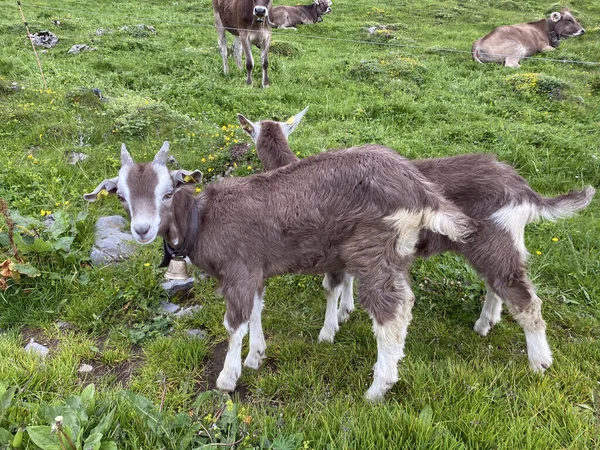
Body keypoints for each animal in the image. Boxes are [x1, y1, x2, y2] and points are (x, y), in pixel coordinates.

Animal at [84, 142, 476, 400]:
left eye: (167, 192)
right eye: (121, 196)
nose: (143, 229)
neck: (203, 221)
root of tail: (420, 190)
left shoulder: (238, 271)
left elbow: (235, 322)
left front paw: (228, 377)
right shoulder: (254, 270)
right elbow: (257, 310)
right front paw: (255, 356)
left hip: (374, 248)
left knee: (392, 309)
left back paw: (379, 386)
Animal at [237, 108, 592, 372]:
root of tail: (526, 191)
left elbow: (331, 287)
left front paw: (328, 332)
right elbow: (347, 282)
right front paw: (346, 311)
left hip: (495, 236)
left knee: (523, 295)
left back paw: (539, 362)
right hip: (498, 241)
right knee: (500, 282)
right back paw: (484, 324)